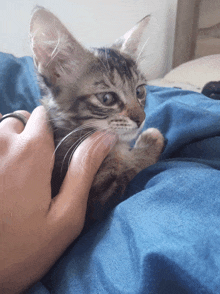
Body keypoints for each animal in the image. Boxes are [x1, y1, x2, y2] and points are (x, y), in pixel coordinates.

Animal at [29, 7, 163, 220]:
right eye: (107, 98)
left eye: (139, 91)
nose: (141, 119)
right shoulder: (99, 197)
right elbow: (130, 166)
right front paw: (150, 141)